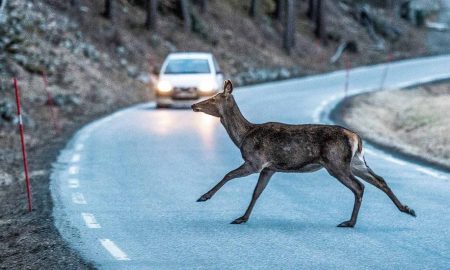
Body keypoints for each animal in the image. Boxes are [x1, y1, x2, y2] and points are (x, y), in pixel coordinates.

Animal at [192, 80, 416, 228]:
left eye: (213, 99)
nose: (194, 105)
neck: (244, 136)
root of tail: (356, 137)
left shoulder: (255, 162)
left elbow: (228, 174)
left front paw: (204, 197)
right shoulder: (269, 168)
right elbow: (257, 192)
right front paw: (242, 218)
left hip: (336, 162)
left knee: (359, 186)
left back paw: (350, 222)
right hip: (355, 162)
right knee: (380, 180)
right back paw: (407, 209)